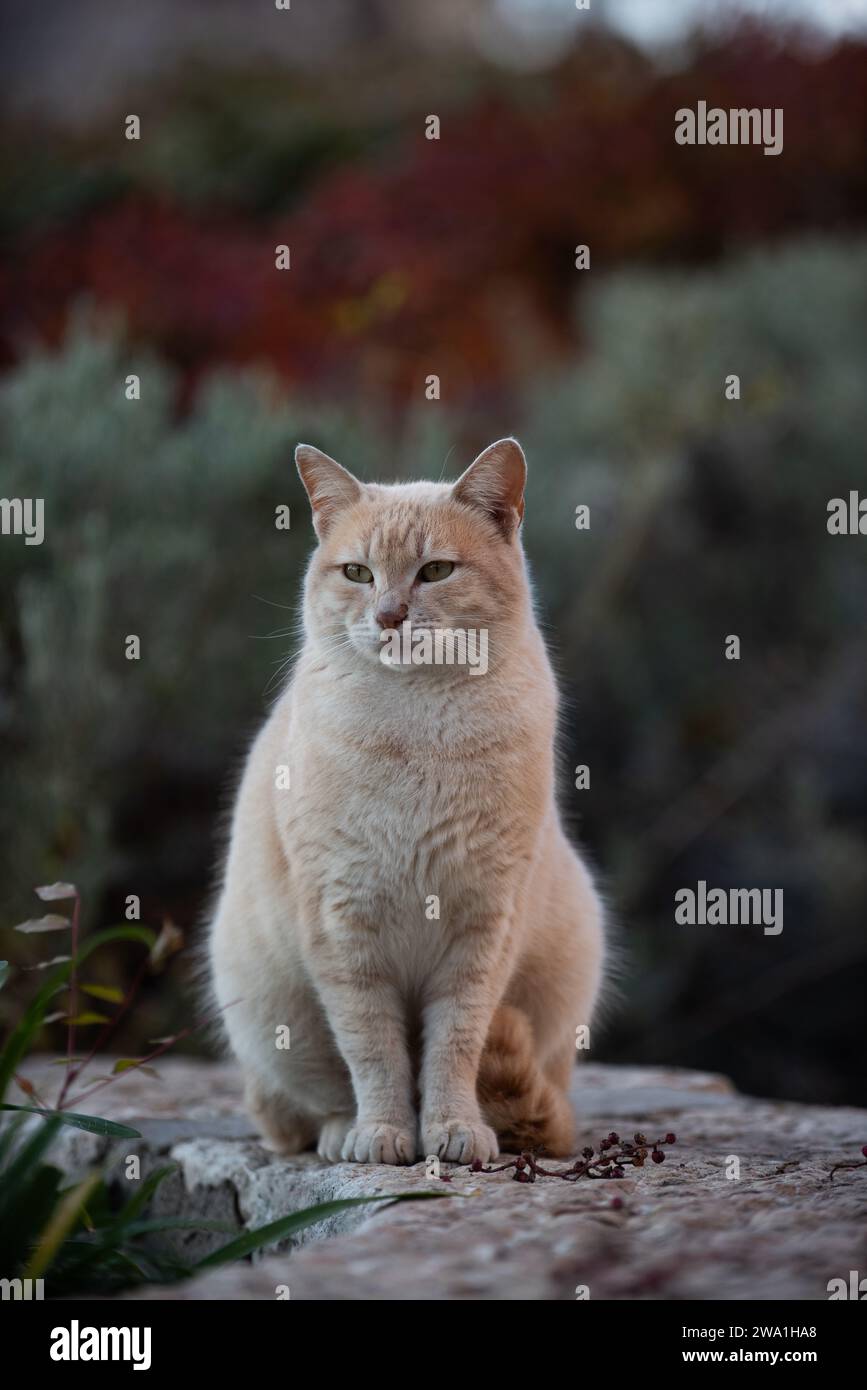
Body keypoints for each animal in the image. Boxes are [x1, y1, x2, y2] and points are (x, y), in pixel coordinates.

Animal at [207, 433, 605, 1162]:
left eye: (436, 571)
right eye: (358, 574)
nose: (389, 616)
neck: (420, 725)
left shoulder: (481, 930)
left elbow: (454, 1047)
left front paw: (451, 1131)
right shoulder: (343, 928)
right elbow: (375, 1051)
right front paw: (385, 1134)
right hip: (271, 1014)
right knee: (297, 1112)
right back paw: (343, 1133)